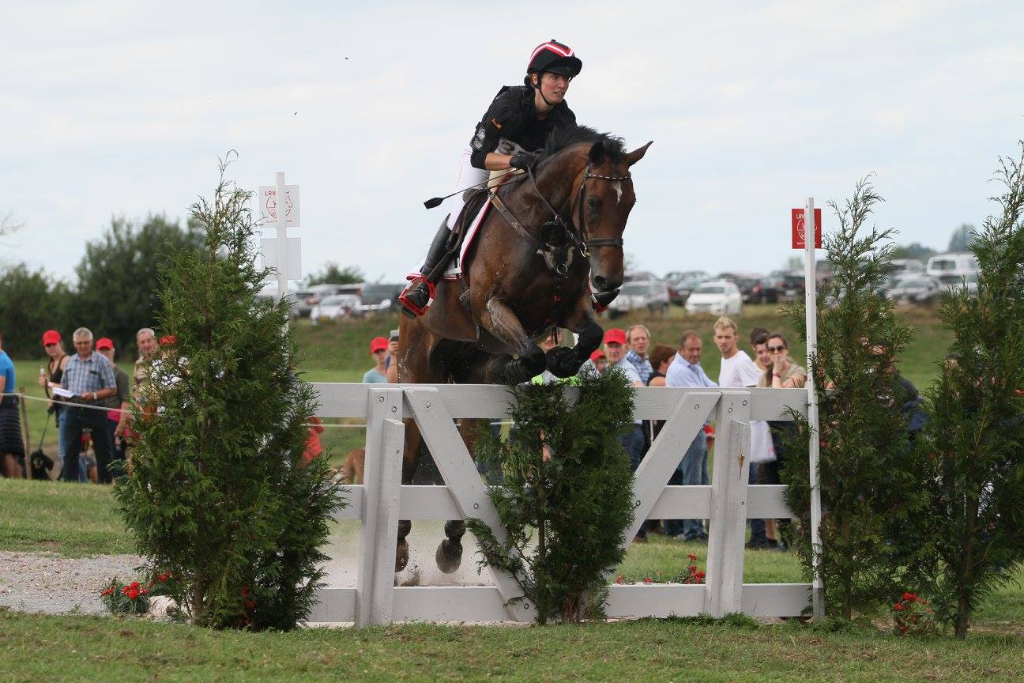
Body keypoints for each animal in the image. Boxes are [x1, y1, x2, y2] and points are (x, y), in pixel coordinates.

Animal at [395, 126, 651, 573]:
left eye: (631, 203)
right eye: (594, 202)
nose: (608, 283)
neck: (546, 230)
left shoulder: (568, 308)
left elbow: (592, 335)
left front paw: (562, 360)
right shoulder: (491, 306)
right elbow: (531, 354)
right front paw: (525, 367)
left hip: (471, 380)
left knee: (468, 443)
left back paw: (452, 543)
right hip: (417, 370)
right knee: (411, 447)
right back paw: (400, 542)